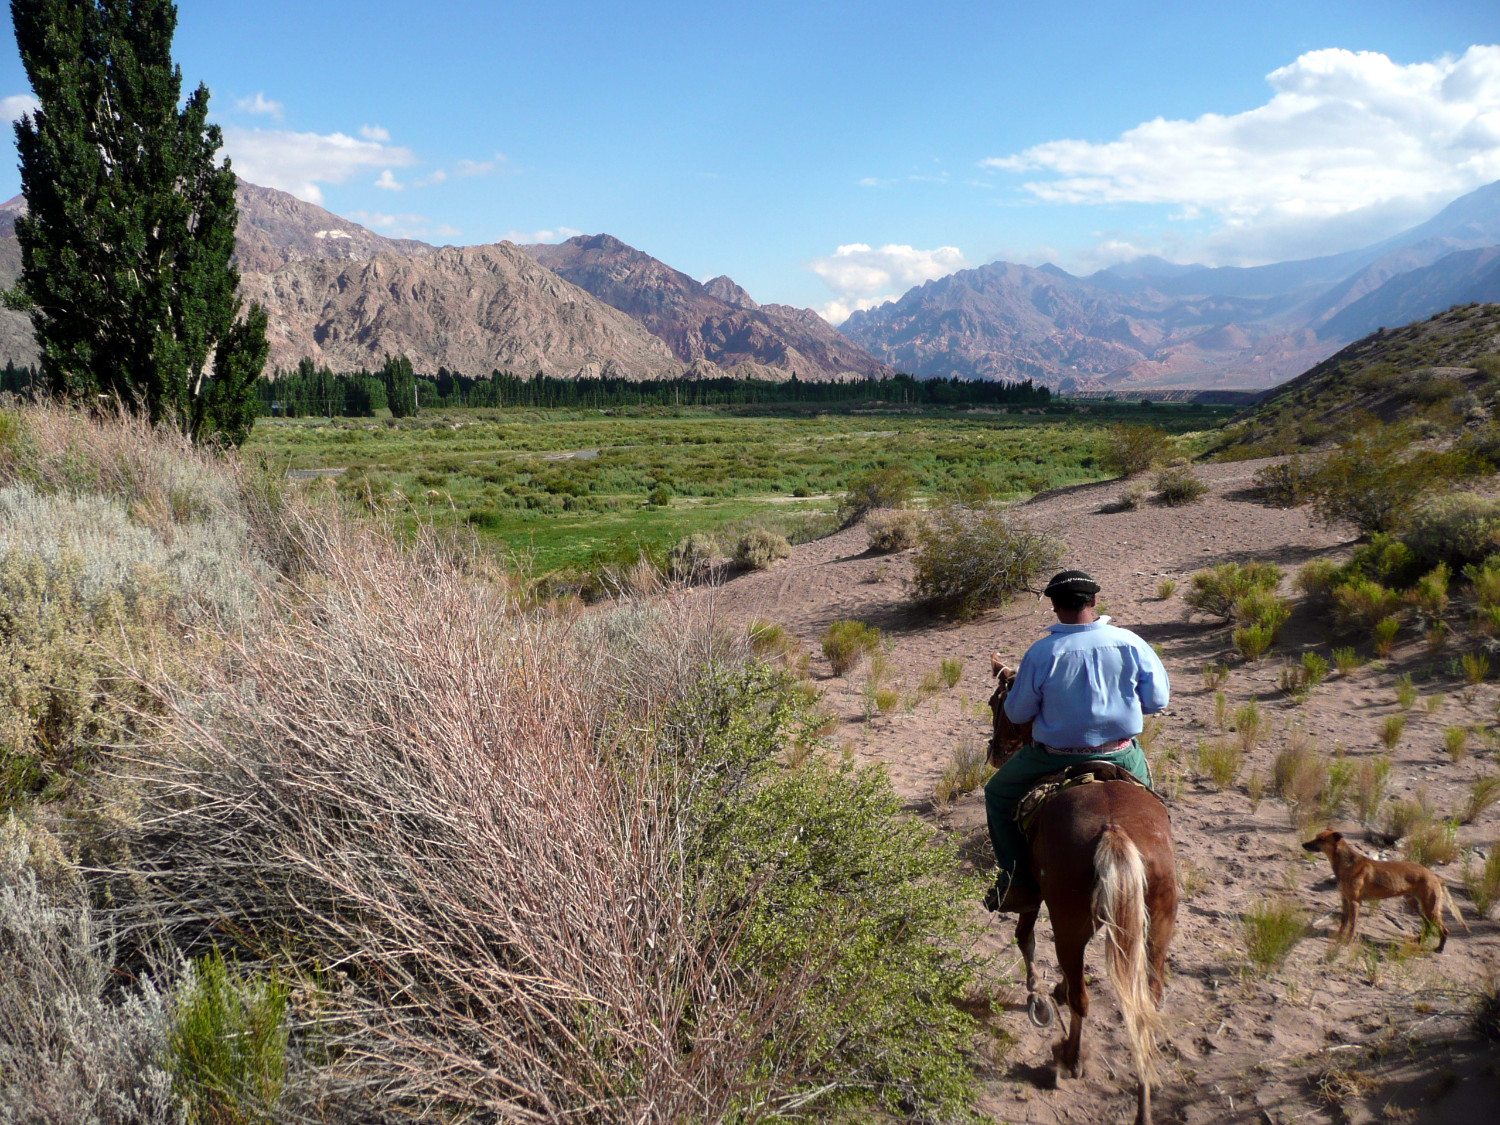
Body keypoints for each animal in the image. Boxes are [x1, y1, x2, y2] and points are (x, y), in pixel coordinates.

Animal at [1014, 774, 1176, 1125]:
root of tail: (1114, 830)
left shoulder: (1033, 893)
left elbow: (1025, 936)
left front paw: (1037, 992)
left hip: (1067, 921)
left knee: (1081, 997)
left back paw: (1070, 1058)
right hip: (1156, 929)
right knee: (1144, 1010)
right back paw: (1143, 1110)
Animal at [1302, 828, 1464, 954]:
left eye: (1321, 839)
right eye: (1316, 836)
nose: (1303, 844)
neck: (1346, 863)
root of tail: (1436, 877)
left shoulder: (1355, 902)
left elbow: (1352, 925)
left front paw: (1347, 941)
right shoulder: (1345, 900)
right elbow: (1343, 922)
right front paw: (1339, 937)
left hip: (1430, 909)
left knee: (1444, 930)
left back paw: (1439, 948)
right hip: (1415, 904)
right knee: (1428, 925)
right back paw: (1419, 939)